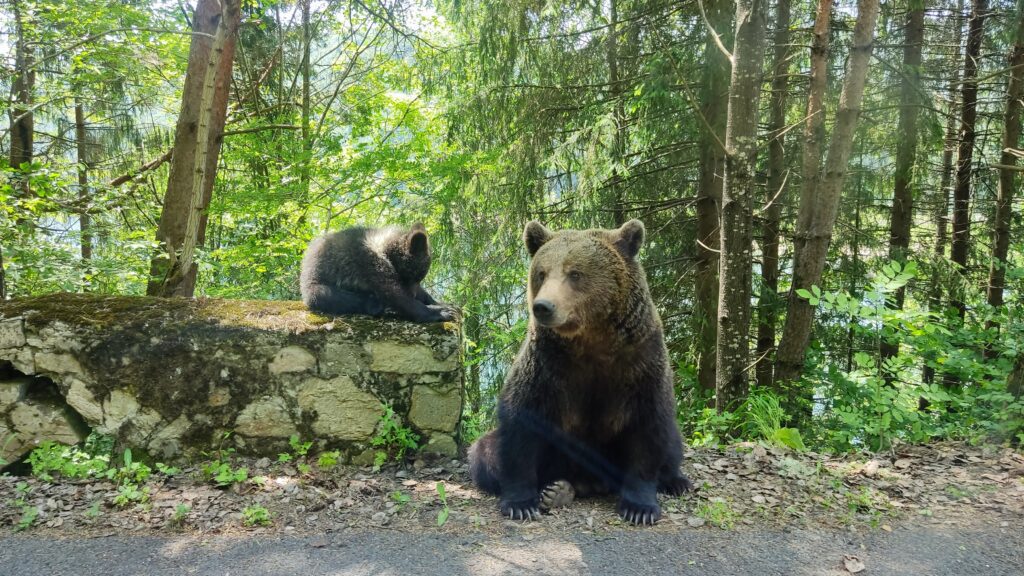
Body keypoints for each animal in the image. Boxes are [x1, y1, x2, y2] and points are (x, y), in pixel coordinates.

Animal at [299, 223, 455, 323]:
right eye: (412, 274)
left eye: (419, 277)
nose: (413, 294)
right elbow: (394, 293)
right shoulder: (368, 262)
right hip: (315, 283)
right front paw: (437, 312)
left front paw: (439, 302)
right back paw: (375, 305)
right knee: (330, 295)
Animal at [468, 219, 692, 525]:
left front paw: (640, 508)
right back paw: (557, 490)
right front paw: (520, 504)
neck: (591, 339)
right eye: (541, 272)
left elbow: (648, 429)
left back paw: (677, 482)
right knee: (484, 452)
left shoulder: (640, 362)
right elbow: (520, 426)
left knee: (672, 443)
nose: (543, 307)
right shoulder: (546, 366)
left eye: (574, 273)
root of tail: (590, 481)